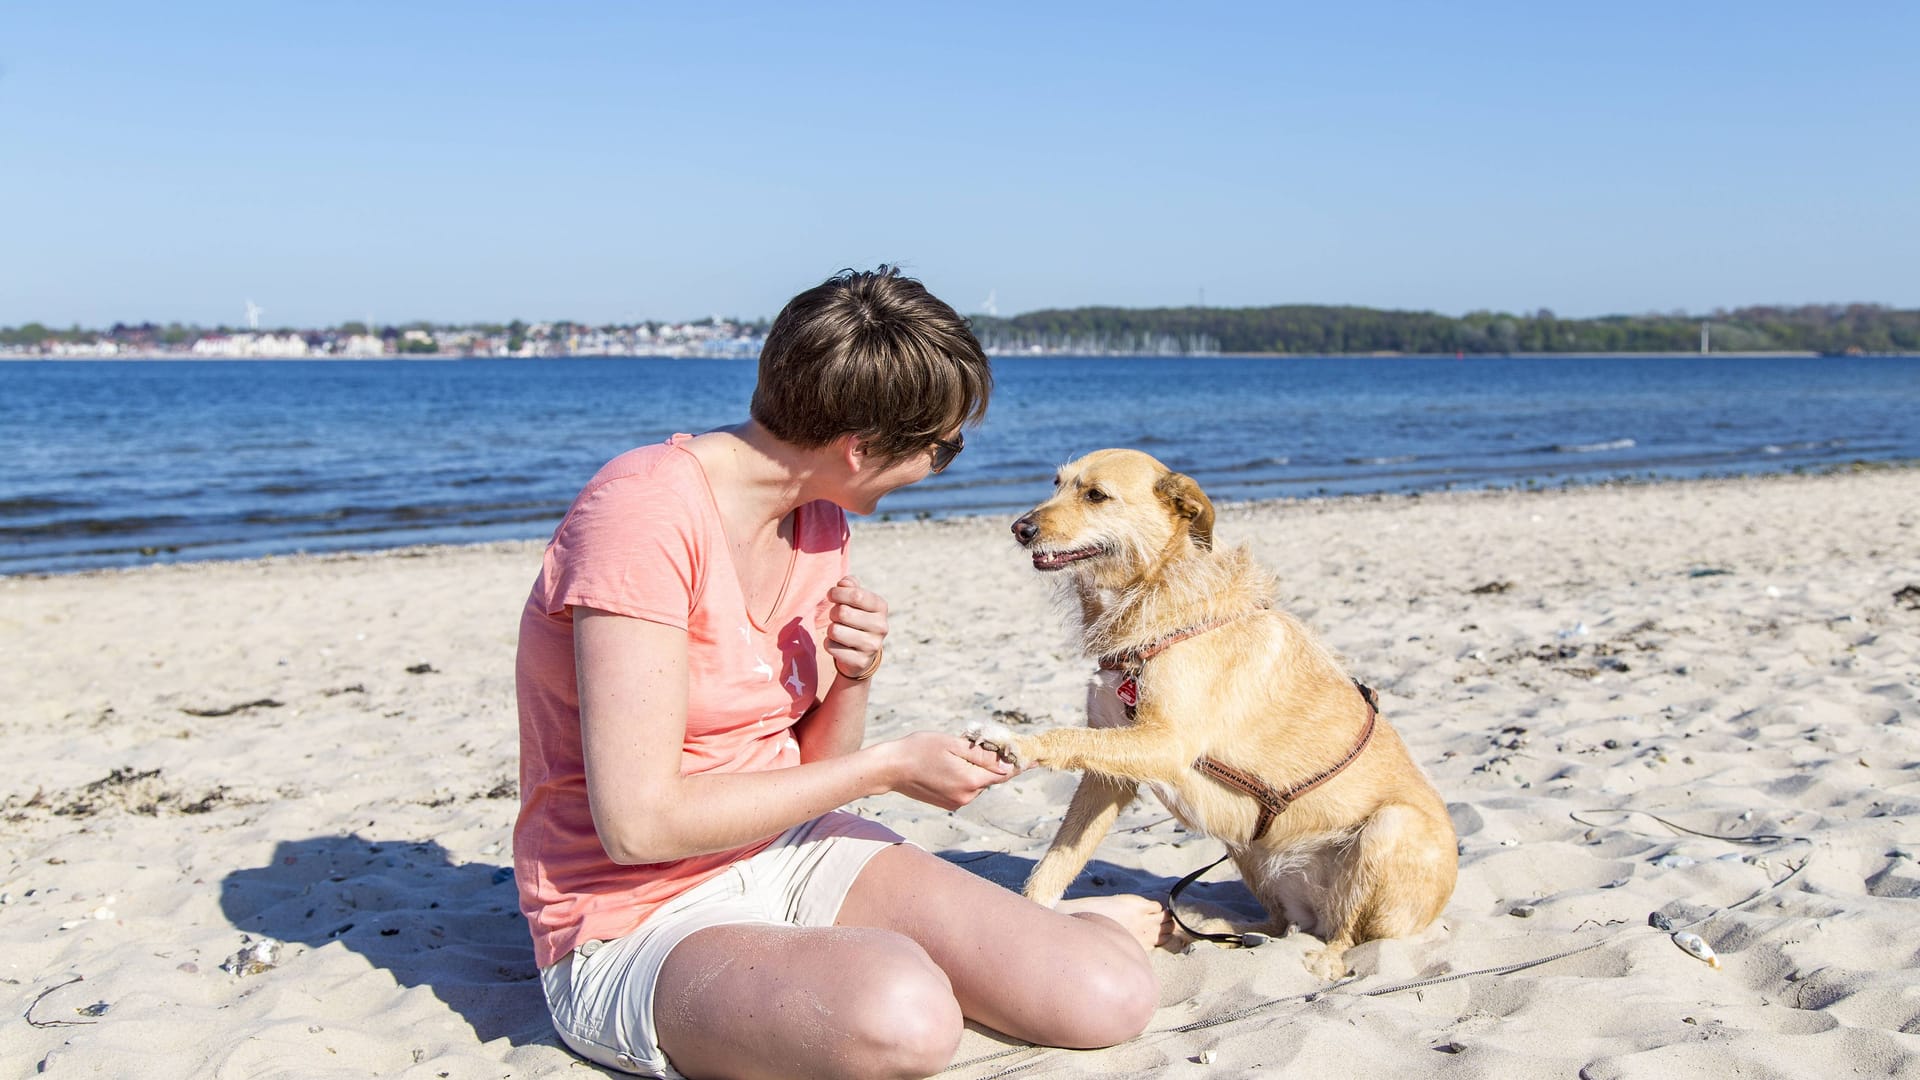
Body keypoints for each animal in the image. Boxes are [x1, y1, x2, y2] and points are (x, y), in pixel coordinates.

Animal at [975, 445, 1451, 976]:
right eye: (1055, 484)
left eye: (1096, 495)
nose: (1020, 528)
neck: (1154, 597)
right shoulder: (1109, 778)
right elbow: (1057, 861)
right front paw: (1031, 916)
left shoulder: (1164, 744)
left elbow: (1068, 738)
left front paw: (1016, 741)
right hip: (1249, 853)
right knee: (1283, 923)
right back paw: (1220, 931)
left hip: (1388, 830)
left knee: (1346, 931)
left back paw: (1321, 959)